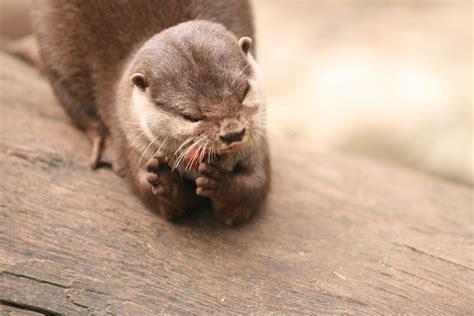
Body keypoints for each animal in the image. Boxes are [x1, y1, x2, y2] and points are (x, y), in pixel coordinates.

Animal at [31, 0, 270, 225]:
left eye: (243, 92)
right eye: (190, 116)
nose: (233, 133)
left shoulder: (257, 142)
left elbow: (254, 186)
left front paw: (221, 183)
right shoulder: (132, 137)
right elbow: (147, 189)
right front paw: (166, 182)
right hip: (55, 53)